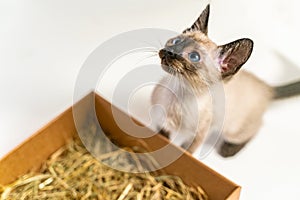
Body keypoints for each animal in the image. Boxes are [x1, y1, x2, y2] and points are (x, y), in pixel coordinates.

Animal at [151, 4, 300, 157]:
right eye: (177, 41)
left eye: (194, 57)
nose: (169, 52)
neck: (178, 93)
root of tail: (265, 85)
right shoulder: (160, 123)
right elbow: (162, 137)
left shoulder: (199, 135)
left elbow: (187, 153)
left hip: (233, 130)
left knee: (257, 127)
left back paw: (228, 150)